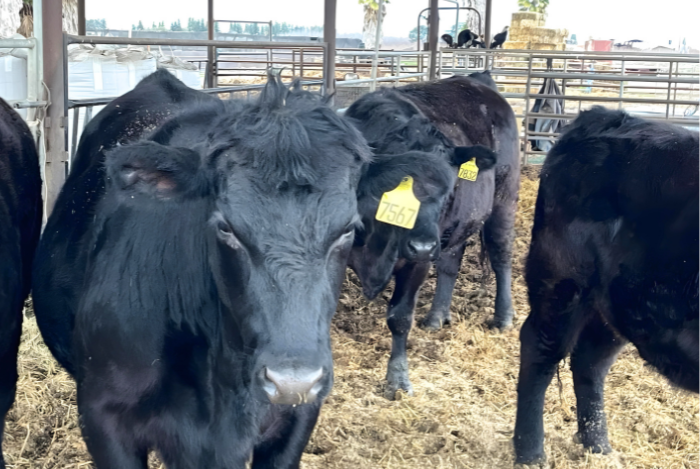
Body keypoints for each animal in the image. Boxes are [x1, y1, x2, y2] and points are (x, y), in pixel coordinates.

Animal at [344, 76, 519, 398]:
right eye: (393, 187)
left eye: (449, 185)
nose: (423, 245)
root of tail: (476, 81)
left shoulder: (418, 262)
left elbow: (400, 317)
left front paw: (397, 381)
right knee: (451, 263)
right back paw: (437, 316)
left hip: (504, 199)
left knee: (501, 255)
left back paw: (503, 317)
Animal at [514, 107, 699, 466]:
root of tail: (609, 115)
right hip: (563, 281)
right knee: (541, 351)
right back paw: (530, 452)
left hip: (616, 304)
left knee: (589, 362)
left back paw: (598, 446)